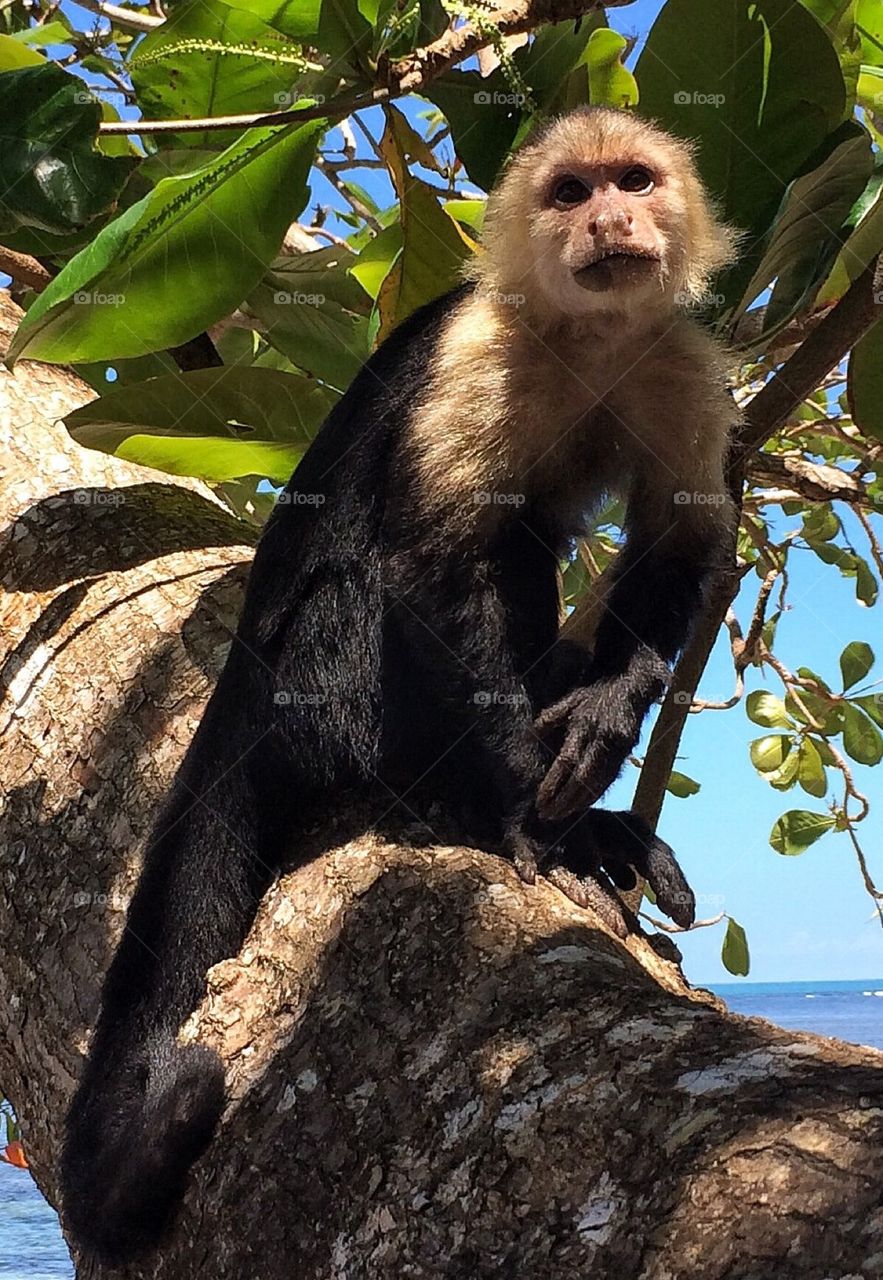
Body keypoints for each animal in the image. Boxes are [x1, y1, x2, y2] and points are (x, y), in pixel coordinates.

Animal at [60, 107, 737, 1259]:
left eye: (634, 180)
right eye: (568, 192)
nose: (608, 218)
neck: (586, 339)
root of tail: (239, 687)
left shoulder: (680, 361)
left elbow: (677, 548)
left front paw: (608, 715)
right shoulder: (476, 352)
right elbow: (435, 564)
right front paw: (521, 814)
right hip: (321, 686)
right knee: (416, 573)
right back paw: (473, 795)